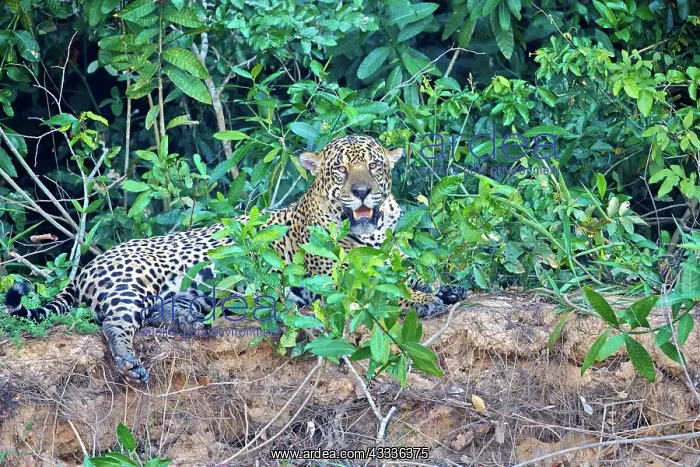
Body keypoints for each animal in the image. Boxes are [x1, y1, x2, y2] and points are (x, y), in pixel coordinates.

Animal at [3, 135, 467, 385]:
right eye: (341, 171)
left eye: (373, 167)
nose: (362, 192)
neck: (372, 232)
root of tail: (86, 267)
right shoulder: (332, 284)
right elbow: (385, 295)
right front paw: (424, 302)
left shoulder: (389, 260)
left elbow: (412, 276)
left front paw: (447, 287)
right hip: (133, 282)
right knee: (115, 325)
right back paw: (130, 363)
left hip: (191, 292)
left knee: (161, 315)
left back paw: (190, 324)